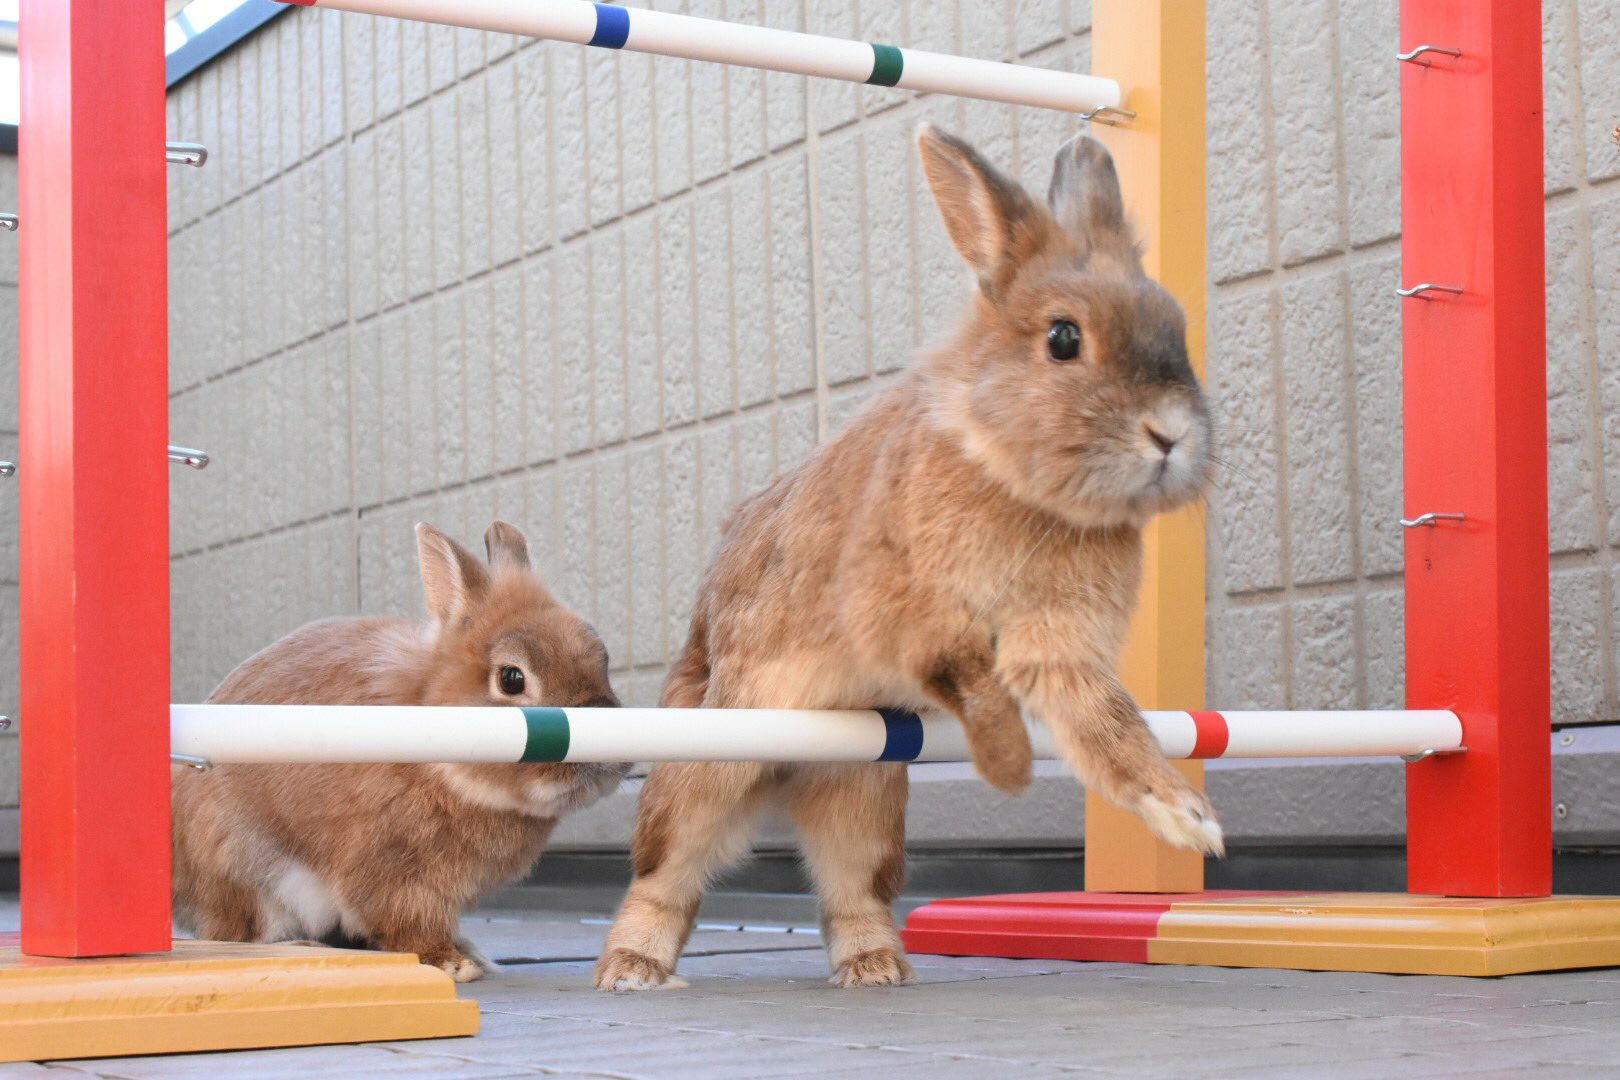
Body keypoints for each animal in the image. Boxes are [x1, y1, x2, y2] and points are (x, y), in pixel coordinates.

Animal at [173, 520, 626, 982]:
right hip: (246, 866)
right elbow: (407, 919)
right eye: (512, 679)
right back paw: (299, 946)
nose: (611, 757)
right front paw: (451, 962)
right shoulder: (393, 869)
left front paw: (468, 954)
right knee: (239, 931)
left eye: (603, 660)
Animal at [594, 126, 1219, 993]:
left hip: (865, 793)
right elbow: (969, 673)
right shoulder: (899, 608)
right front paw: (1011, 767)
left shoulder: (1059, 646)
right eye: (1063, 338)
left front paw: (1187, 819)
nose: (1170, 434)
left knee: (852, 888)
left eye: (1177, 327)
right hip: (710, 763)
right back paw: (632, 970)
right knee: (664, 872)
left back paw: (875, 967)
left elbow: (1109, 725)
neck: (1002, 467)